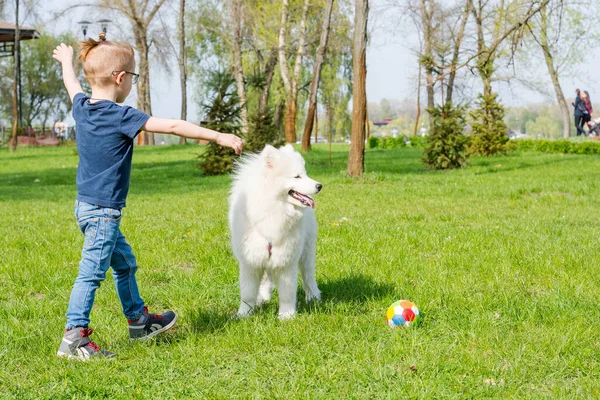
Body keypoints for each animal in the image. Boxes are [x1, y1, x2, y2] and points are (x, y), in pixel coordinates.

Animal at [230, 144, 324, 318]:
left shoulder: (287, 260)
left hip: (307, 252)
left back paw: (313, 297)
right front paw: (244, 314)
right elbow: (247, 292)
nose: (319, 186)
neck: (274, 210)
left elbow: (287, 292)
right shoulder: (250, 260)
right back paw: (262, 298)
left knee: (308, 276)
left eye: (305, 174)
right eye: (297, 176)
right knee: (266, 279)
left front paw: (286, 316)